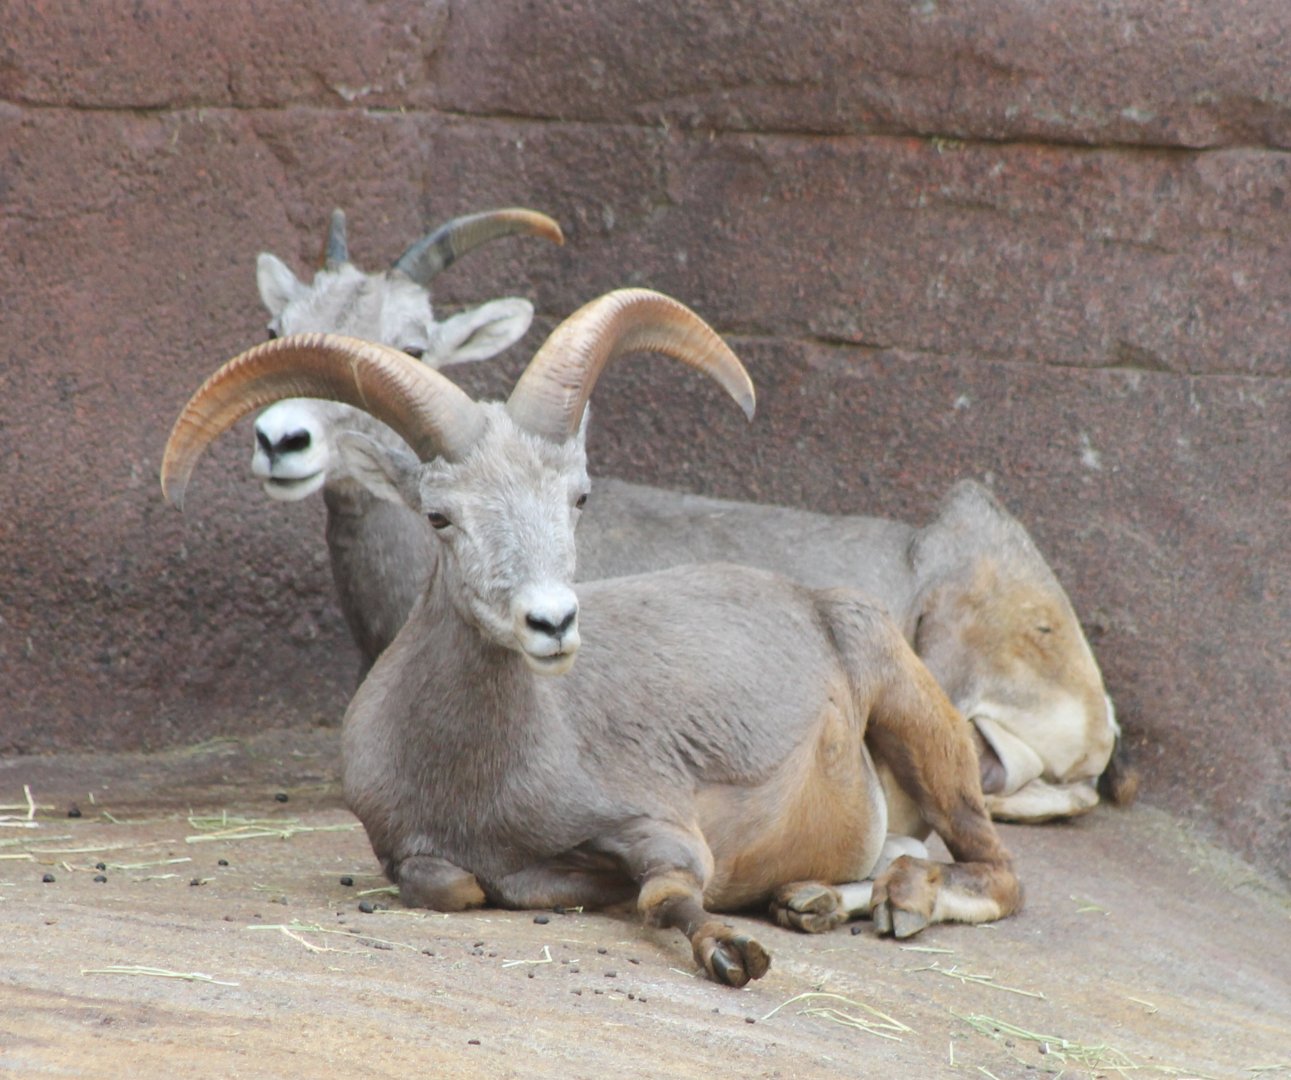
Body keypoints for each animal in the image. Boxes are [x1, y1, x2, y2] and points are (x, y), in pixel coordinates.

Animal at [161, 289, 1022, 986]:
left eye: (578, 497)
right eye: (440, 515)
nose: (551, 622)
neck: (481, 779)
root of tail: (822, 602)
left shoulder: (661, 829)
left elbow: (667, 895)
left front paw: (730, 954)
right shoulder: (412, 851)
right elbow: (454, 886)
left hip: (923, 727)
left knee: (992, 869)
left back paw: (898, 902)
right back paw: (812, 901)